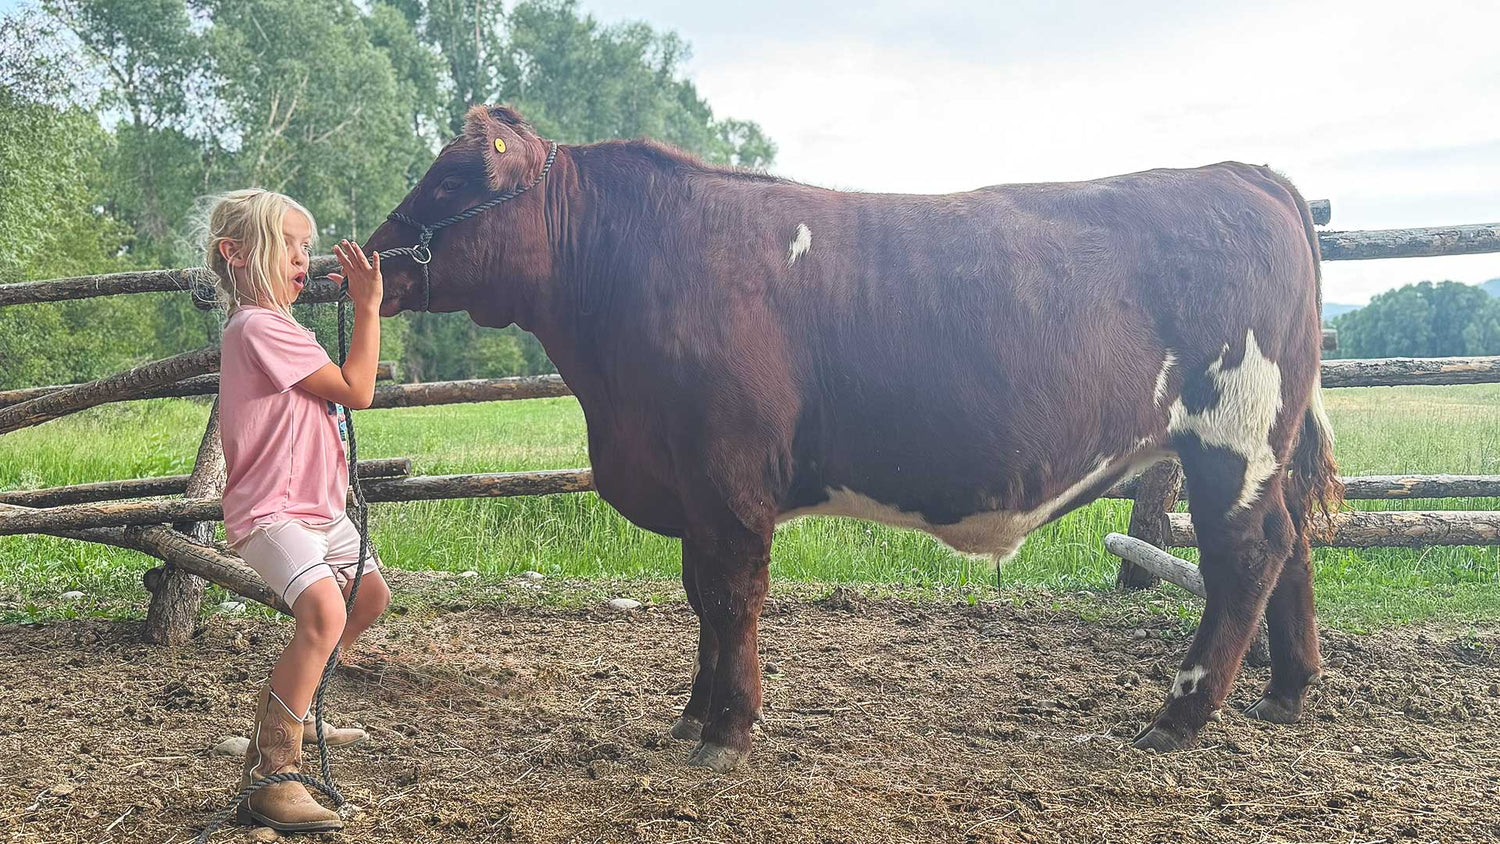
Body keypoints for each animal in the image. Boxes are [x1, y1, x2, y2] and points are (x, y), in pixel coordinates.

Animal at [364, 104, 1343, 772]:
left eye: (453, 179)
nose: (367, 257)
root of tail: (1243, 172)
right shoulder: (691, 485)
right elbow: (700, 598)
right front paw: (694, 715)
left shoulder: (728, 477)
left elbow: (731, 596)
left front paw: (728, 732)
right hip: (1265, 448)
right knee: (1292, 545)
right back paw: (1284, 694)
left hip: (1231, 437)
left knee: (1247, 558)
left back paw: (1178, 718)